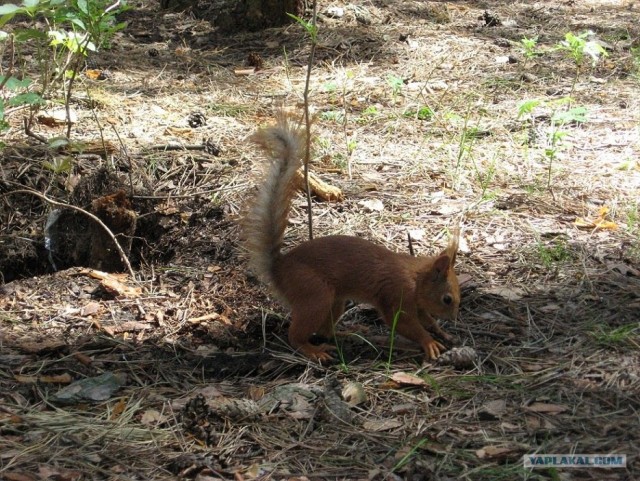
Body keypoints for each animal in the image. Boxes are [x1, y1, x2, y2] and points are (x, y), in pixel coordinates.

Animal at [244, 113, 460, 360]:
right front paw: (429, 342)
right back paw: (313, 351)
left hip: (335, 301)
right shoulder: (396, 293)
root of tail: (278, 269)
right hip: (315, 294)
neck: (415, 277)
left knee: (324, 331)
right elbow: (404, 323)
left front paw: (441, 332)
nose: (454, 318)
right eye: (447, 298)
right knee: (297, 335)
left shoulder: (419, 303)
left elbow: (426, 319)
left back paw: (347, 334)